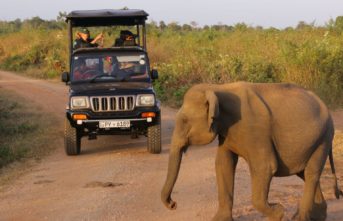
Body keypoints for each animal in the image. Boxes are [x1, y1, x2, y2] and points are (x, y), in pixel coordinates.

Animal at [162, 82, 343, 221]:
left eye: (184, 121)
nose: (173, 204)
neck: (217, 88)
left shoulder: (255, 130)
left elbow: (265, 167)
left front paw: (278, 212)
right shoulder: (226, 132)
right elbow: (223, 164)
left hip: (323, 138)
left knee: (311, 173)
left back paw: (300, 218)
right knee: (305, 174)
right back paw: (317, 216)